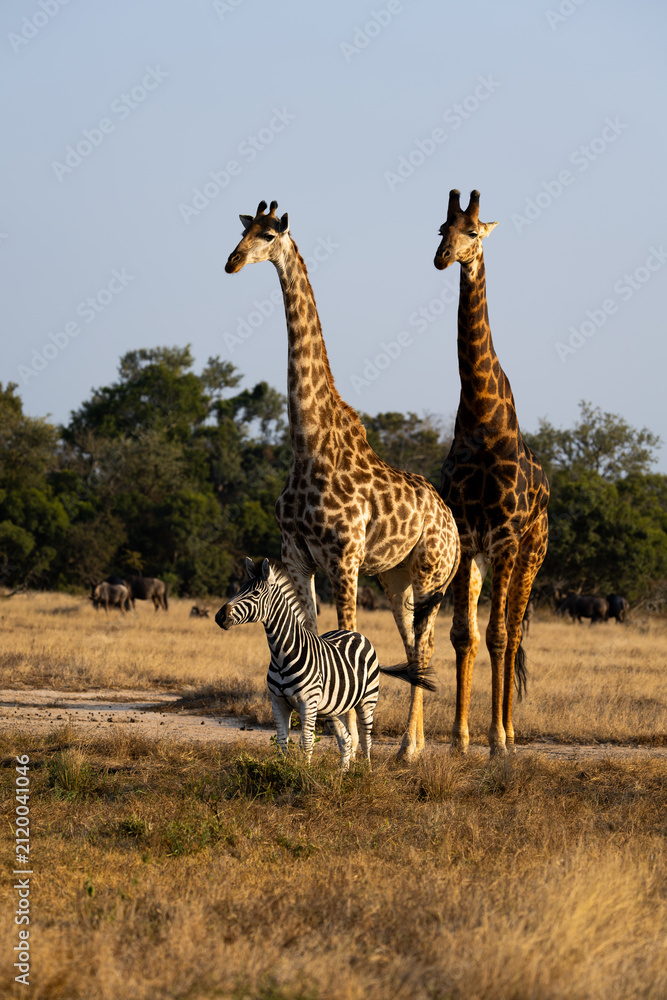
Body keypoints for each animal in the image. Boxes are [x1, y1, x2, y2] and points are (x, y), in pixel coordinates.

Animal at [215, 558, 435, 770]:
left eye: (255, 593)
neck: (281, 655)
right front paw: (281, 772)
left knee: (366, 740)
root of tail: (356, 634)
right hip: (332, 707)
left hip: (367, 701)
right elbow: (281, 743)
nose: (219, 616)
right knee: (346, 739)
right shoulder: (278, 702)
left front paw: (303, 775)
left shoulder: (307, 703)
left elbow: (307, 742)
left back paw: (366, 772)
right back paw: (342, 775)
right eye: (239, 589)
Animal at [225, 200, 460, 757]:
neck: (307, 444)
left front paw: (346, 740)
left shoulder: (344, 558)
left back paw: (408, 749)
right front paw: (319, 738)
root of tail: (453, 523)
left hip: (433, 575)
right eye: (240, 231)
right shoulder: (297, 556)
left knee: (426, 646)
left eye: (268, 235)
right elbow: (311, 634)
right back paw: (412, 745)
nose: (232, 262)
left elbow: (345, 636)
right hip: (395, 579)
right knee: (411, 646)